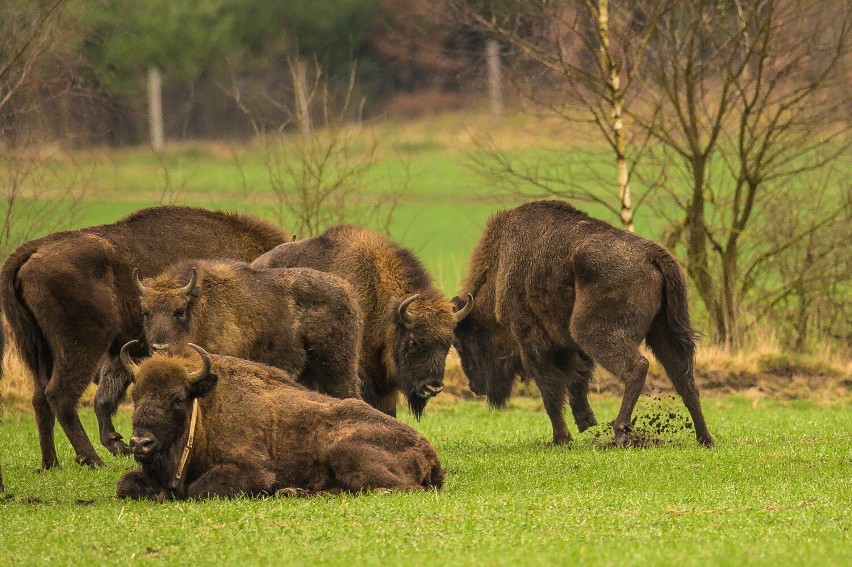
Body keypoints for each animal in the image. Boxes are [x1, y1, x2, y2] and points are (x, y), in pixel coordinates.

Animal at [0, 206, 288, 468]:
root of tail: (32, 250)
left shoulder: (127, 353)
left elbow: (107, 397)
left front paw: (117, 443)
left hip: (41, 350)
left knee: (40, 397)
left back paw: (52, 463)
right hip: (80, 346)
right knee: (60, 394)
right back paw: (93, 460)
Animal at [115, 344, 446, 500]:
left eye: (177, 398)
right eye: (135, 393)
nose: (140, 443)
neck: (205, 410)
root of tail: (430, 453)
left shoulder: (252, 470)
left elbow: (198, 489)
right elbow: (124, 483)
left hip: (345, 450)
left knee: (396, 488)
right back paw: (293, 492)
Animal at [135, 258, 362, 398]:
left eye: (180, 311)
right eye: (145, 312)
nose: (160, 348)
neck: (200, 308)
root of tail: (349, 293)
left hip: (337, 371)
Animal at [452, 200, 712, 448]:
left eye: (463, 342)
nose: (474, 386)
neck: (500, 268)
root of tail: (652, 254)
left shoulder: (530, 338)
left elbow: (550, 389)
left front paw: (561, 438)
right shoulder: (571, 346)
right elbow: (577, 381)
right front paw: (586, 423)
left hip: (592, 332)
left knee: (637, 366)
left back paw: (620, 431)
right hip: (662, 332)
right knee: (684, 379)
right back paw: (704, 438)